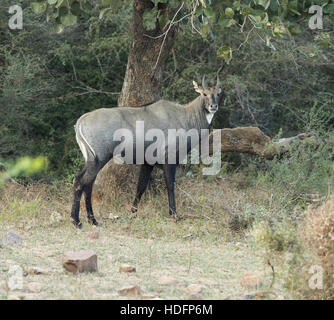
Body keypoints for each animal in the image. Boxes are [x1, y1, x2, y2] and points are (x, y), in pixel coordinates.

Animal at [71, 76, 222, 228]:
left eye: (218, 93)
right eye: (204, 94)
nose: (213, 107)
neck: (186, 117)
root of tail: (80, 121)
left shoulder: (148, 162)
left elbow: (141, 187)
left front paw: (132, 213)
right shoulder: (169, 159)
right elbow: (170, 186)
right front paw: (174, 214)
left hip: (91, 159)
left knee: (86, 183)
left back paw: (92, 220)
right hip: (100, 158)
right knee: (81, 182)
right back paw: (77, 221)